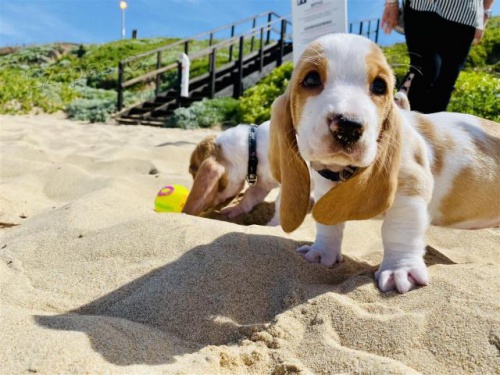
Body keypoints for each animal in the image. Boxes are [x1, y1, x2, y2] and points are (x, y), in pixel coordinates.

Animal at [270, 33, 500, 294]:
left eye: (379, 86)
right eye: (311, 79)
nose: (348, 126)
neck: (345, 172)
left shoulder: (410, 190)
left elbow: (398, 230)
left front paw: (400, 269)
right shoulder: (324, 192)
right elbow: (328, 226)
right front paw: (322, 253)